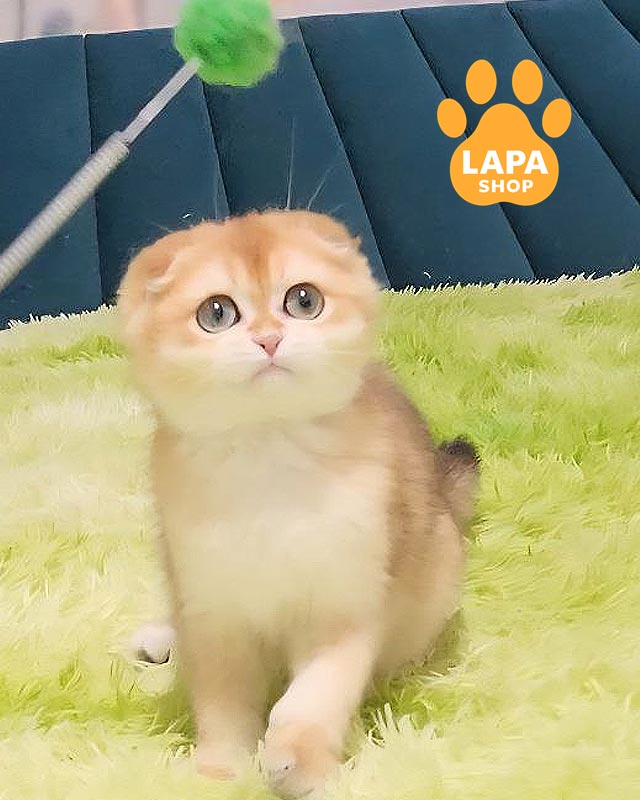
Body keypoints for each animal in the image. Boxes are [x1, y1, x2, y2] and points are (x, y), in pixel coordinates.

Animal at [118, 210, 479, 798]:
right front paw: (219, 771)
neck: (269, 453)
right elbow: (222, 706)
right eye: (215, 313)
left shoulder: (341, 608)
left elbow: (313, 699)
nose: (269, 339)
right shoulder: (215, 613)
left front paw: (301, 762)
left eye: (303, 301)